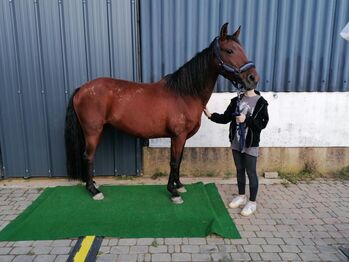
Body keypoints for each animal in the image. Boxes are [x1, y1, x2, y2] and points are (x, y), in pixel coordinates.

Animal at [64, 23, 258, 204]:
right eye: (230, 50)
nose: (253, 78)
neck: (185, 94)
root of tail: (82, 89)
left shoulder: (182, 137)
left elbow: (179, 160)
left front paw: (179, 185)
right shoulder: (178, 136)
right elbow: (173, 161)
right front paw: (173, 193)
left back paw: (93, 184)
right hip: (93, 131)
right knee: (88, 156)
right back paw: (93, 191)